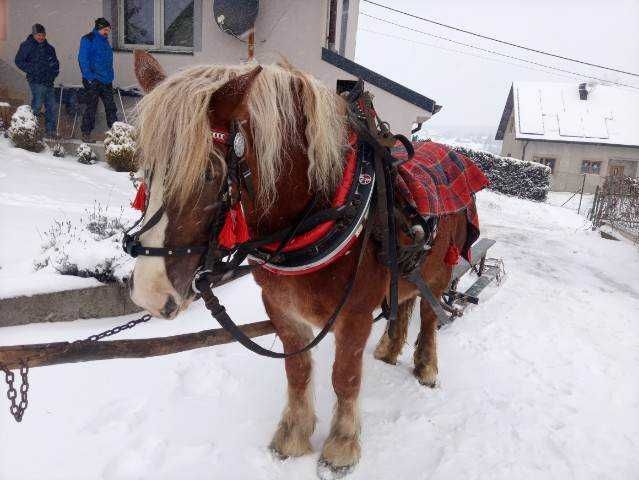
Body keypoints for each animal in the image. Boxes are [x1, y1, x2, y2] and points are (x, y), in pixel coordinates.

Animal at [129, 50, 470, 478]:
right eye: (146, 168)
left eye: (208, 173)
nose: (149, 293)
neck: (325, 210)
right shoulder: (281, 306)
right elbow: (298, 370)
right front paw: (293, 436)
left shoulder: (355, 314)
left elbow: (345, 377)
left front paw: (341, 447)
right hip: (407, 271)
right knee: (405, 301)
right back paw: (390, 348)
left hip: (440, 273)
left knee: (428, 315)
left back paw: (425, 367)